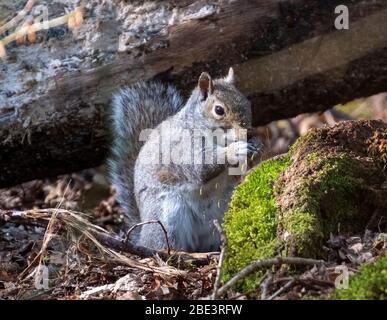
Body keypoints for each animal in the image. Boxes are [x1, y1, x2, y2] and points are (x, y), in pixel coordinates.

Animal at [107, 69, 262, 252]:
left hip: (225, 209)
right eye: (219, 110)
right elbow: (200, 167)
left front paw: (258, 145)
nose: (249, 132)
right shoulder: (182, 146)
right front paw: (235, 150)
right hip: (167, 215)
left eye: (247, 102)